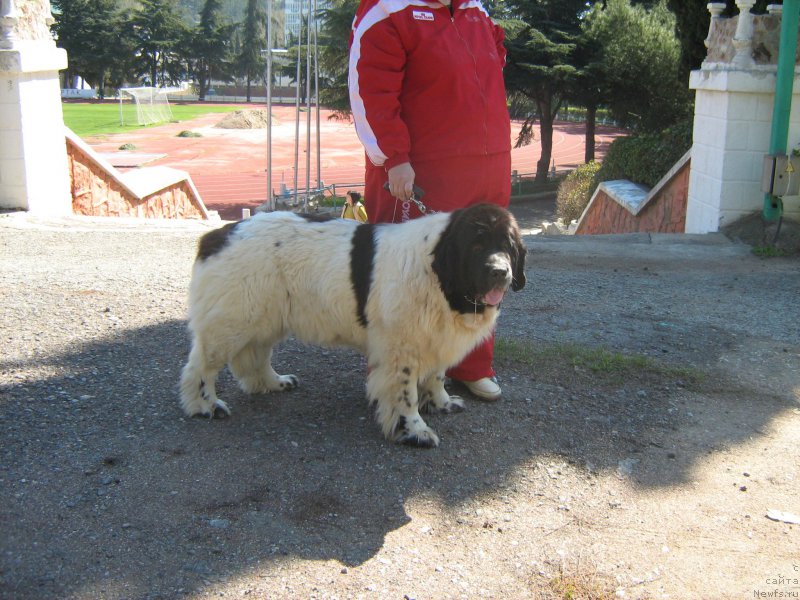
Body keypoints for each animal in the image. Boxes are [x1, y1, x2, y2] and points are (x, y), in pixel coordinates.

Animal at [184, 205, 528, 446]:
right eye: (476, 245)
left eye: (509, 246)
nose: (500, 272)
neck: (440, 275)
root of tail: (215, 236)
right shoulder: (401, 348)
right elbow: (405, 395)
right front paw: (414, 431)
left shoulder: (434, 338)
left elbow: (436, 376)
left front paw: (442, 403)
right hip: (231, 321)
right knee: (201, 367)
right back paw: (205, 406)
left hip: (264, 317)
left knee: (254, 357)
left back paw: (273, 382)